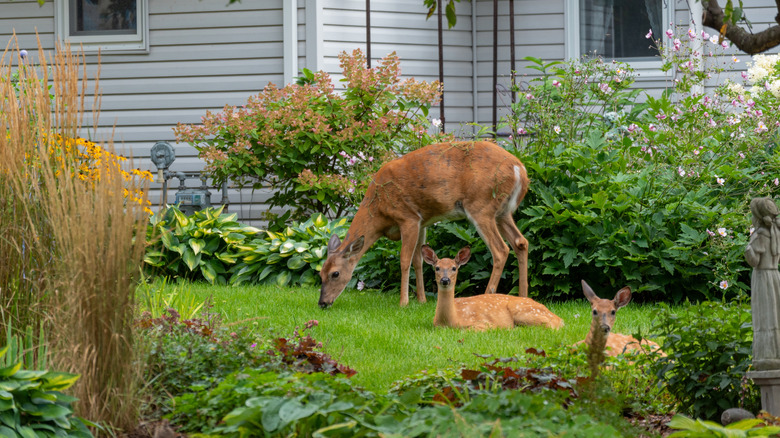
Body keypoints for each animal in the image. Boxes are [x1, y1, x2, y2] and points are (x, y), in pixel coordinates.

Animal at [318, 141, 531, 308]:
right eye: (320, 273)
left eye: (335, 273)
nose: (322, 303)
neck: (379, 210)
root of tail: (519, 169)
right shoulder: (422, 223)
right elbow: (418, 260)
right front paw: (421, 300)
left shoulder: (408, 217)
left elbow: (404, 260)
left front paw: (403, 302)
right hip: (502, 212)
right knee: (520, 242)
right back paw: (524, 298)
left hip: (481, 206)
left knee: (501, 249)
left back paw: (488, 297)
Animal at [421, 245, 563, 330]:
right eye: (437, 268)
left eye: (454, 268)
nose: (445, 280)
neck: (452, 320)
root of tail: (559, 319)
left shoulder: (483, 322)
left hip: (526, 312)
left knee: (548, 325)